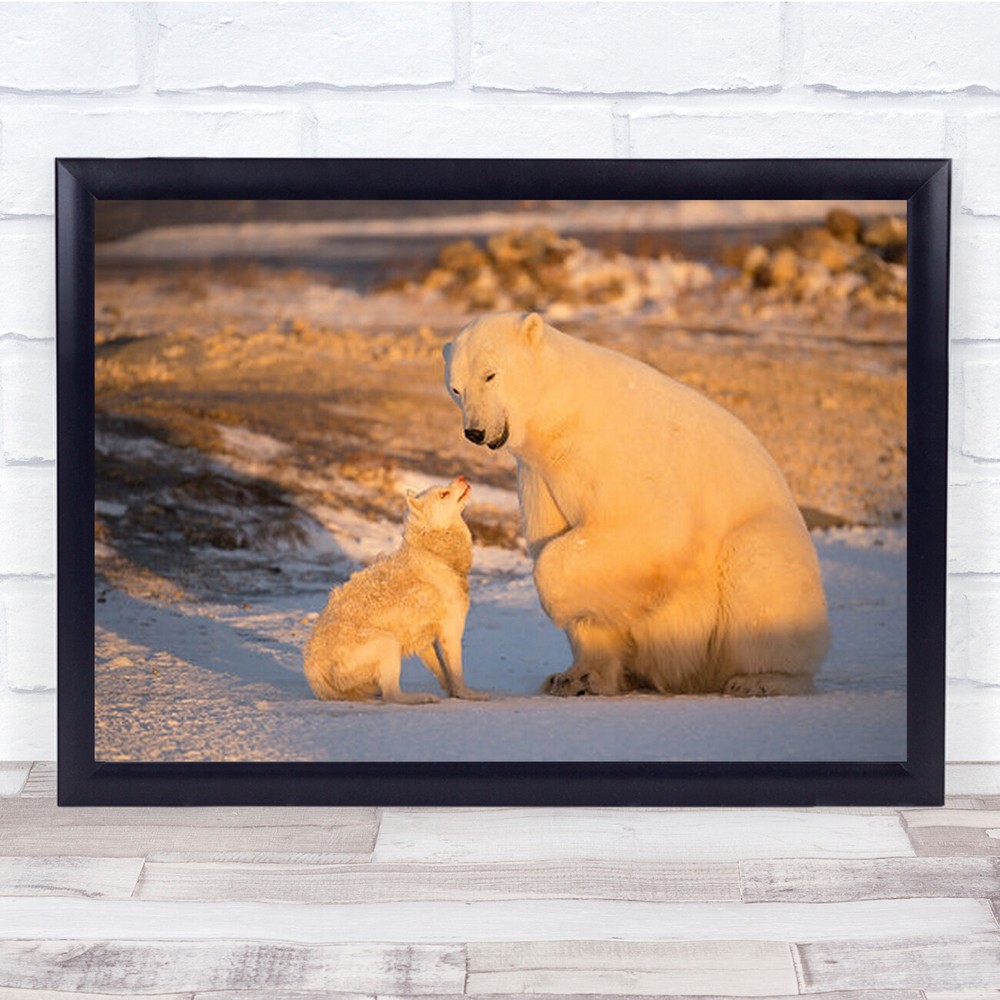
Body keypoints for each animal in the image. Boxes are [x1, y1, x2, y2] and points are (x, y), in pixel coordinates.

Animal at [304, 477, 488, 704]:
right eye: (443, 494)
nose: (461, 477)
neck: (435, 554)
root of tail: (314, 672)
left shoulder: (426, 641)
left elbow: (443, 672)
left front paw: (451, 692)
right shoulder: (450, 630)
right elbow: (456, 672)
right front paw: (468, 694)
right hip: (388, 643)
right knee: (392, 694)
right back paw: (419, 697)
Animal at [442, 311, 830, 697]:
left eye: (490, 374)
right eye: (456, 388)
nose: (475, 431)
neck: (566, 413)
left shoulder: (618, 452)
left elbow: (646, 530)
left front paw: (563, 607)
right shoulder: (541, 477)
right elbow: (563, 547)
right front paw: (579, 676)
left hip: (766, 542)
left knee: (759, 576)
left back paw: (760, 680)